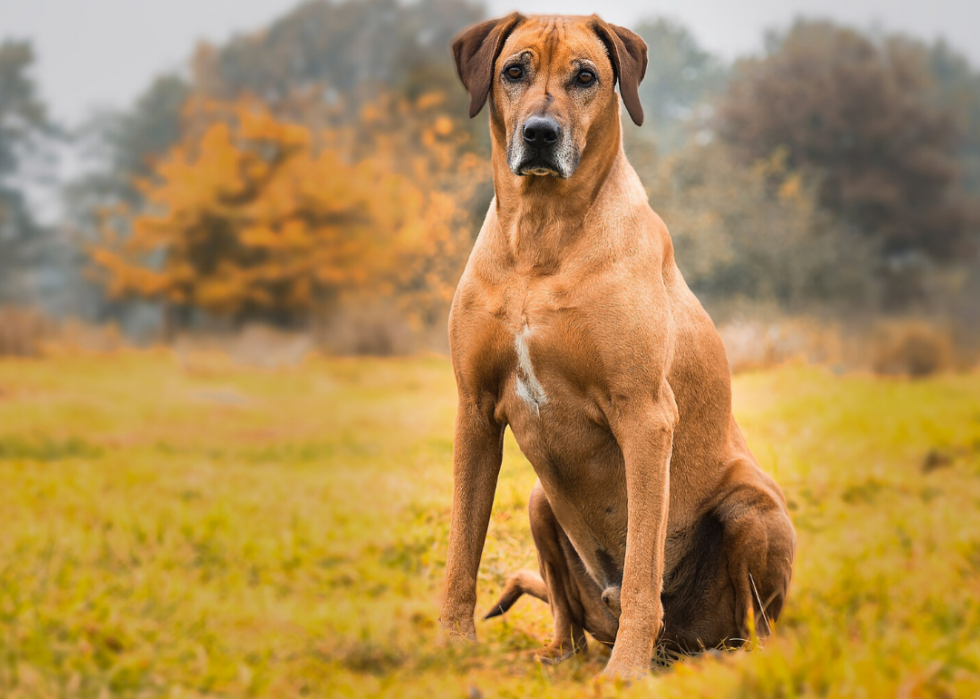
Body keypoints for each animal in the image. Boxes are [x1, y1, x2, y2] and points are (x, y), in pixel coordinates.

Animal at [440, 13, 792, 680]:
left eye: (586, 77)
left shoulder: (646, 417)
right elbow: (461, 549)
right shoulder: (474, 409)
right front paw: (449, 647)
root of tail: (680, 646)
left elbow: (642, 571)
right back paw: (557, 653)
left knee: (752, 627)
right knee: (568, 615)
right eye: (514, 70)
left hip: (753, 509)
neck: (542, 236)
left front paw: (625, 674)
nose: (541, 133)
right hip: (539, 502)